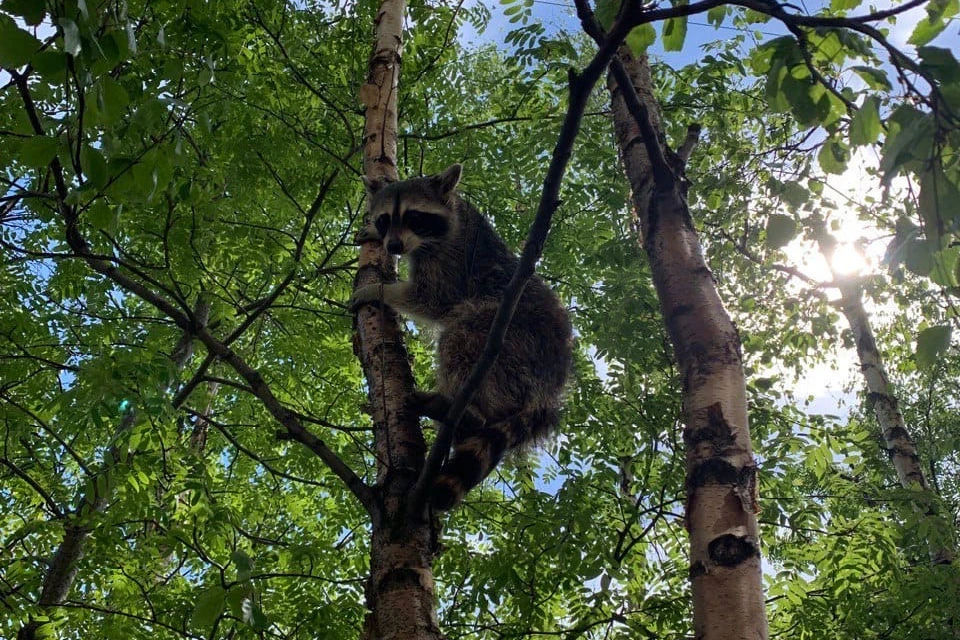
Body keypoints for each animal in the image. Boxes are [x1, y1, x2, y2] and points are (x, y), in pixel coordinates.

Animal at [356, 164, 572, 510]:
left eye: (414, 216)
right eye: (385, 219)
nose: (394, 248)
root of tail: (549, 390)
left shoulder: (450, 259)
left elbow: (432, 298)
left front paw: (377, 290)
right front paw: (375, 236)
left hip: (513, 338)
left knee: (460, 338)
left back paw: (466, 411)